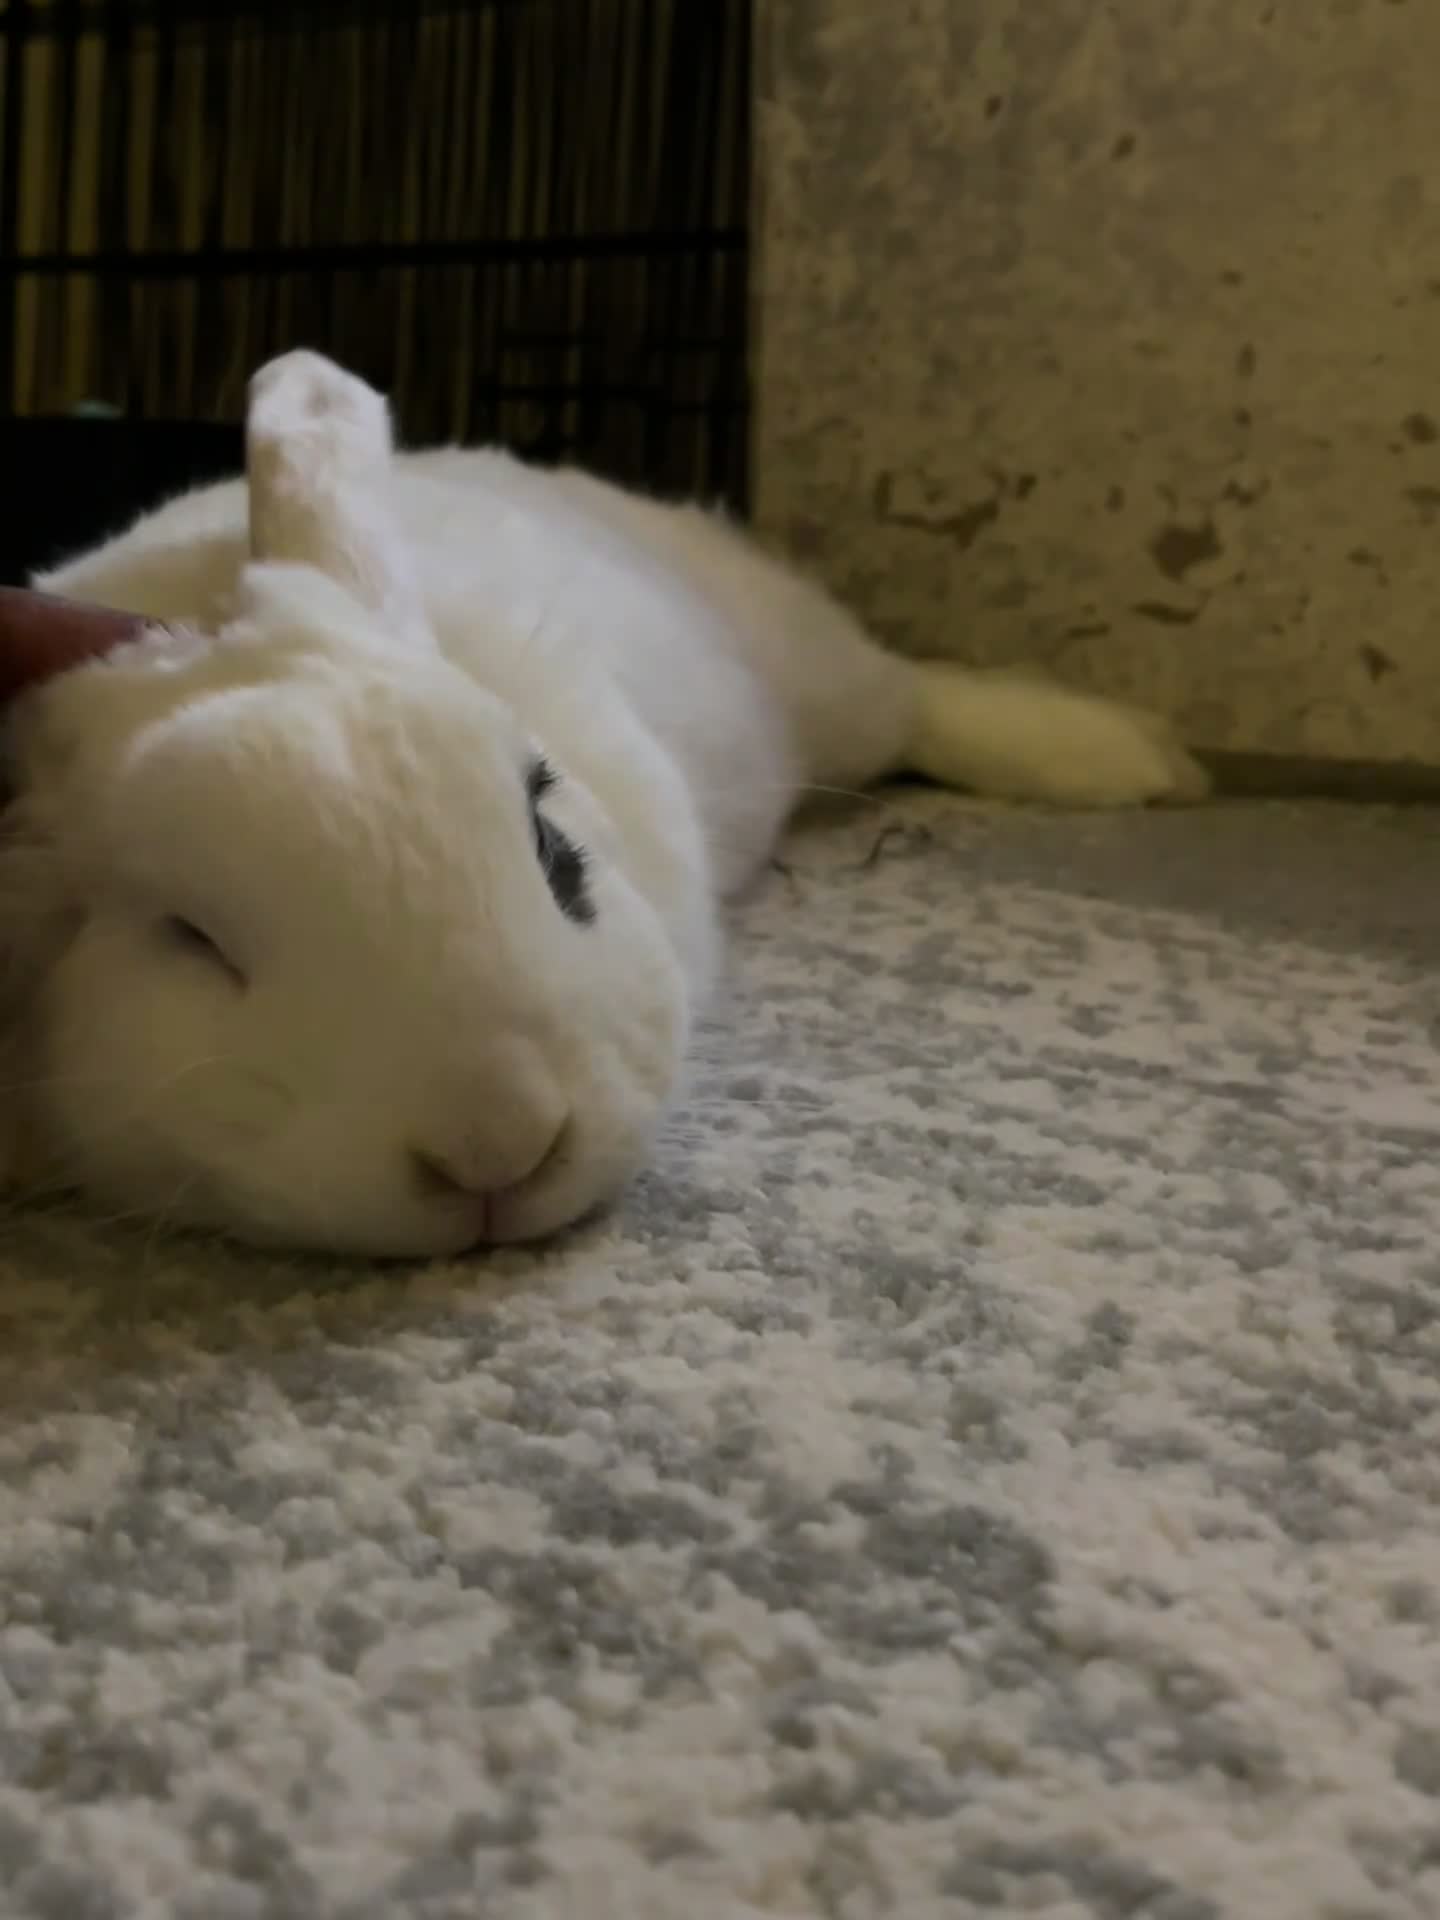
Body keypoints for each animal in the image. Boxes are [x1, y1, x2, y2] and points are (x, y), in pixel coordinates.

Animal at [0, 350, 1207, 1258]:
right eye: (187, 939)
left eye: (552, 846)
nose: (500, 1148)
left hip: (816, 683)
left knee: (913, 699)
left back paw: (1140, 759)